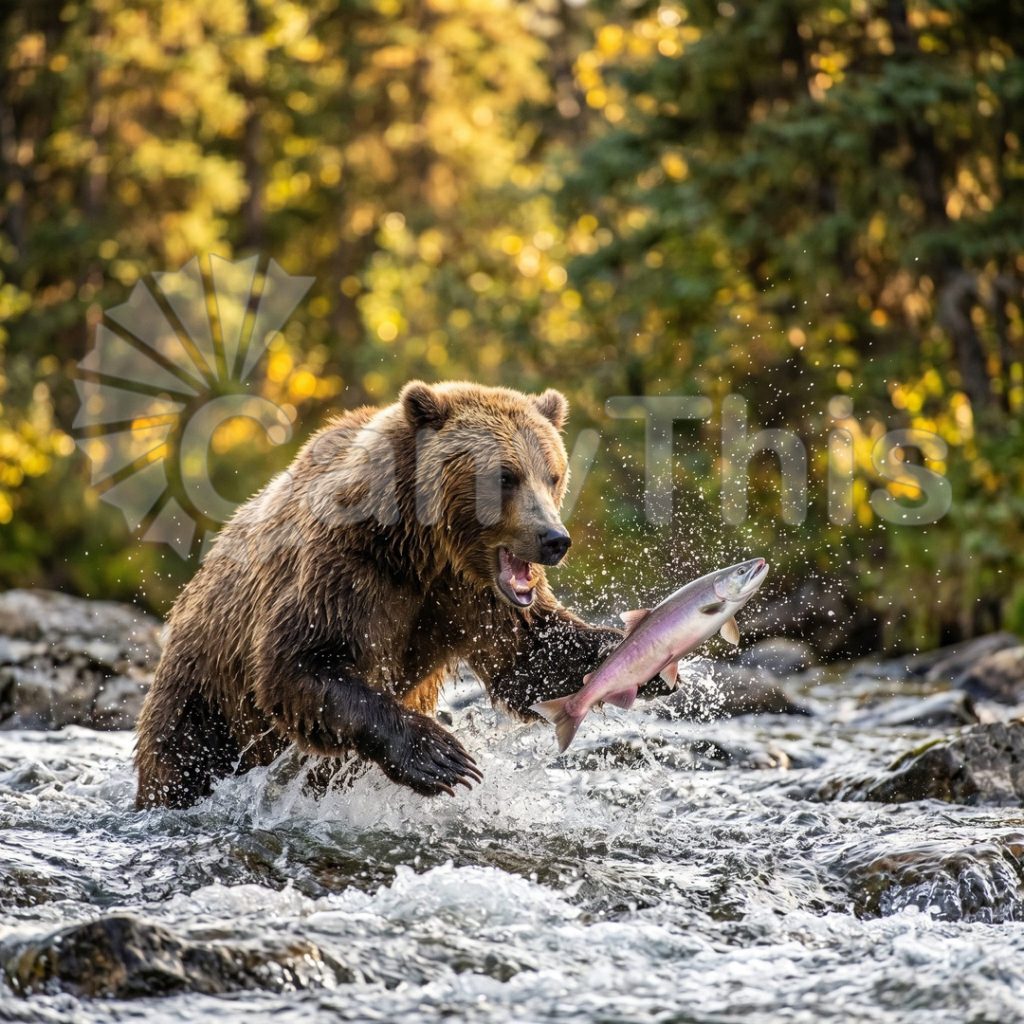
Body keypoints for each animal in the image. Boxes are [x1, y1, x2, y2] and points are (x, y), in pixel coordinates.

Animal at [135, 381, 648, 809]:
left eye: (553, 474)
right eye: (506, 476)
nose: (554, 539)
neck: (424, 549)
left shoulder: (472, 597)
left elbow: (530, 657)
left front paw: (632, 655)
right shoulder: (346, 571)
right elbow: (300, 662)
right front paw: (441, 756)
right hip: (205, 698)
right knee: (183, 759)